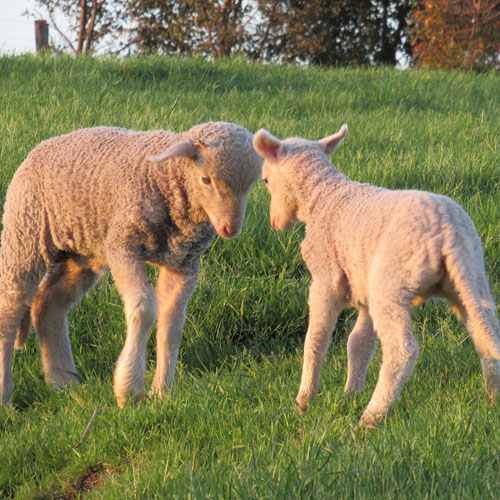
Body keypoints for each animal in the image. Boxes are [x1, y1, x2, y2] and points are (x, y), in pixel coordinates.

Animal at [0, 120, 264, 406]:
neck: (165, 176)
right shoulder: (123, 246)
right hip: (25, 230)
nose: (230, 229)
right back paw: (6, 396)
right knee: (10, 306)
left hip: (85, 251)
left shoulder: (183, 263)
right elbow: (144, 308)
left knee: (48, 304)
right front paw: (130, 391)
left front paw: (162, 393)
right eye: (206, 179)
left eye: (252, 184)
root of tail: (41, 147)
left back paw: (63, 382)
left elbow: (171, 325)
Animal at [254, 124, 500, 426]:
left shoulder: (325, 280)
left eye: (266, 181)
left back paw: (371, 417)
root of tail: (447, 231)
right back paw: (493, 399)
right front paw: (351, 393)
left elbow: (316, 338)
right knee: (486, 332)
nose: (274, 223)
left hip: (391, 283)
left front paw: (304, 400)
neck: (323, 196)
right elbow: (358, 343)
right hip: (472, 277)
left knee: (402, 350)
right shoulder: (363, 288)